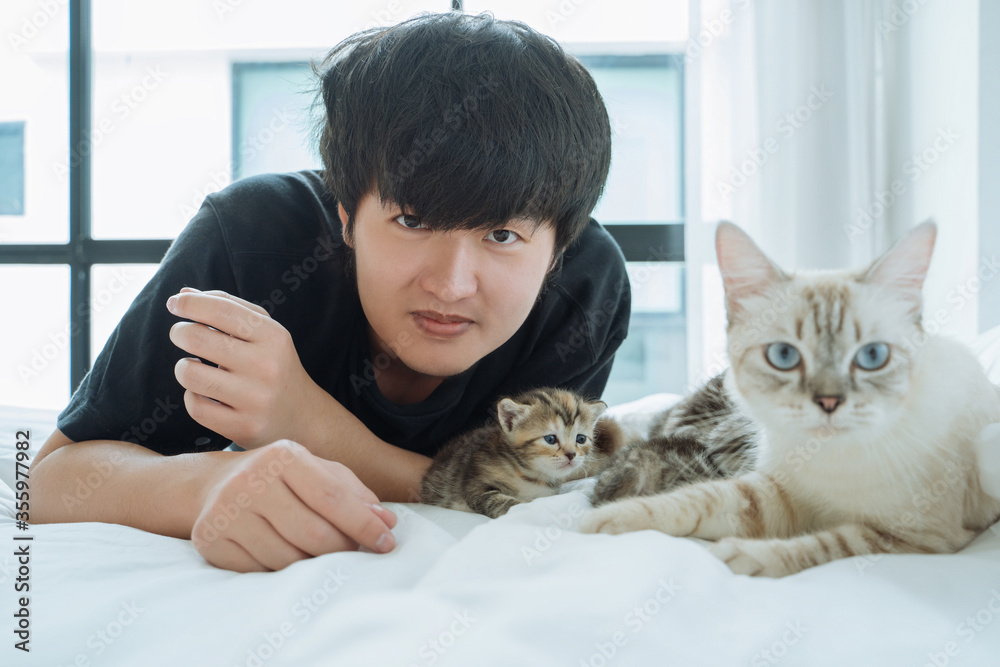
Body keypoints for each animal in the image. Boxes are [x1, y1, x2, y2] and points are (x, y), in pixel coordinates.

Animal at [420, 386, 624, 520]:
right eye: (550, 439)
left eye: (580, 439)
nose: (571, 454)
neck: (529, 474)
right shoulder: (474, 486)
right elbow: (502, 502)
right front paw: (524, 507)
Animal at [580, 222, 1000, 576]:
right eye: (783, 356)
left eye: (872, 356)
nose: (829, 402)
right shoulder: (776, 490)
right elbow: (700, 499)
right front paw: (615, 518)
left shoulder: (918, 538)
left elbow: (830, 545)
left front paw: (748, 556)